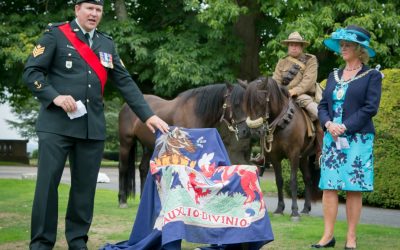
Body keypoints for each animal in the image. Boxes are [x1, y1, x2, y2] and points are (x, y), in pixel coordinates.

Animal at [118, 83, 250, 207]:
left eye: (246, 104)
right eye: (236, 104)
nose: (245, 131)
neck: (195, 113)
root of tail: (125, 107)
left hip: (147, 147)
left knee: (143, 168)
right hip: (126, 143)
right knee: (123, 168)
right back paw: (122, 200)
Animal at [241, 76, 318, 219]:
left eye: (260, 101)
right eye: (246, 104)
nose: (255, 131)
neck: (283, 123)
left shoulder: (293, 154)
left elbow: (293, 181)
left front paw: (294, 211)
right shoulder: (275, 157)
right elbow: (279, 181)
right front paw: (279, 209)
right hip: (303, 158)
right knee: (307, 179)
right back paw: (305, 208)